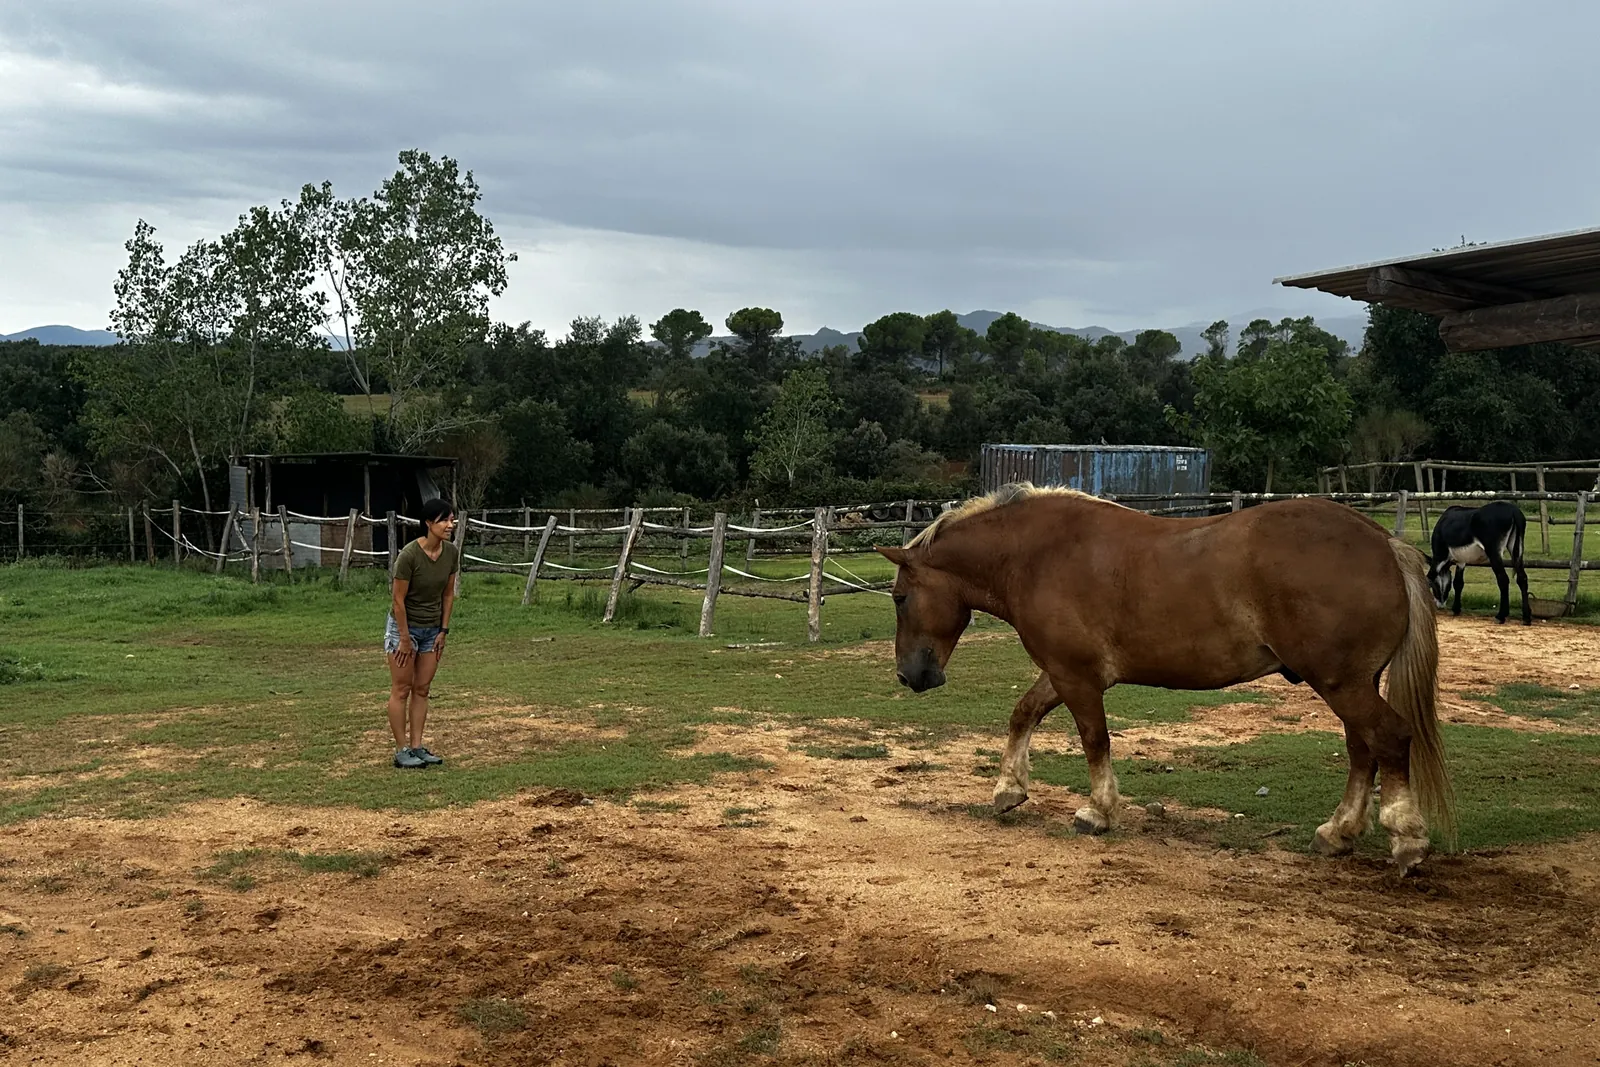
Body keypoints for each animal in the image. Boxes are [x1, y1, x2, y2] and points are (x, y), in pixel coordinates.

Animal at [875, 482, 1456, 875]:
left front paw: (1097, 812)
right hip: (1352, 684)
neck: (1037, 556)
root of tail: (1384, 544)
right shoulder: (1062, 672)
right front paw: (1008, 789)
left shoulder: (1077, 677)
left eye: (899, 597)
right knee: (1363, 750)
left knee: (1388, 739)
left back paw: (1407, 841)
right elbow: (1024, 713)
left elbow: (1094, 739)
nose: (910, 675)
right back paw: (1338, 834)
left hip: (1342, 683)